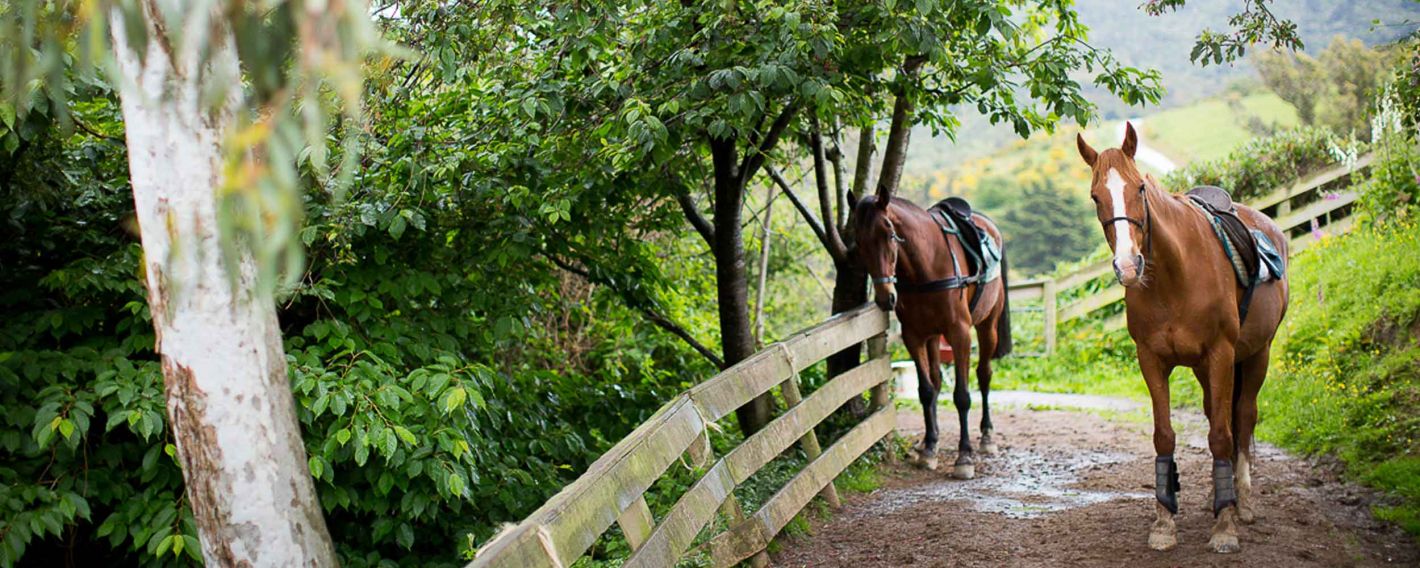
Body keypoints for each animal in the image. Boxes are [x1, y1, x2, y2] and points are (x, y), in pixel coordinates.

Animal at [852, 195, 1011, 479]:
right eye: (858, 241)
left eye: (889, 234)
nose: (885, 297)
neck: (926, 266)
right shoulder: (914, 336)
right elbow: (926, 390)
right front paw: (928, 449)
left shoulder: (959, 334)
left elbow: (962, 396)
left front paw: (964, 456)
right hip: (934, 336)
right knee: (936, 380)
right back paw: (930, 441)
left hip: (987, 326)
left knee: (984, 375)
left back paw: (986, 435)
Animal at [1073, 122, 1289, 553]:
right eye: (1095, 196)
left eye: (1140, 187)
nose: (1128, 266)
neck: (1175, 277)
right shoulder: (1152, 361)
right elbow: (1165, 437)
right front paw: (1164, 523)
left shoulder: (1221, 355)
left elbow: (1222, 436)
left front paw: (1225, 527)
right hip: (1210, 371)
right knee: (1220, 415)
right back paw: (1217, 495)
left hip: (1256, 355)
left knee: (1243, 418)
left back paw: (1242, 500)